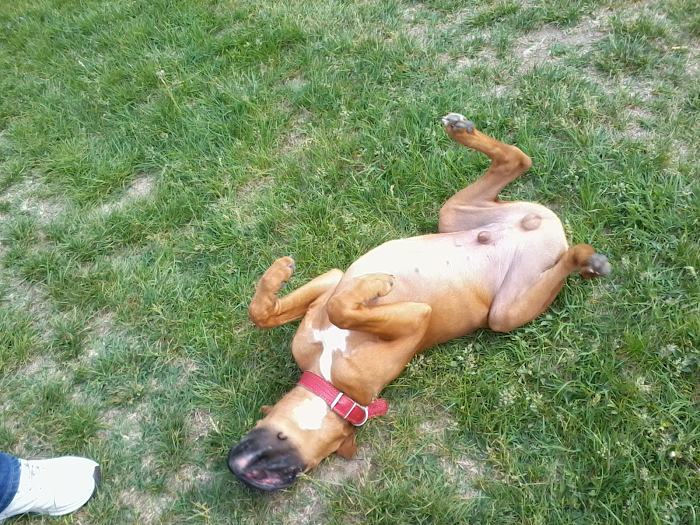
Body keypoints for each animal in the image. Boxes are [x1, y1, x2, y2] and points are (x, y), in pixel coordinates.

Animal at [227, 113, 611, 491]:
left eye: (289, 473)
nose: (239, 466)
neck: (330, 383)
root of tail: (545, 228)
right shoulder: (386, 305)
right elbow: (296, 311)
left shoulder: (366, 296)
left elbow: (277, 311)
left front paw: (282, 274)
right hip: (491, 282)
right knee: (519, 162)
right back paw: (585, 259)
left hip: (476, 255)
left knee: (520, 162)